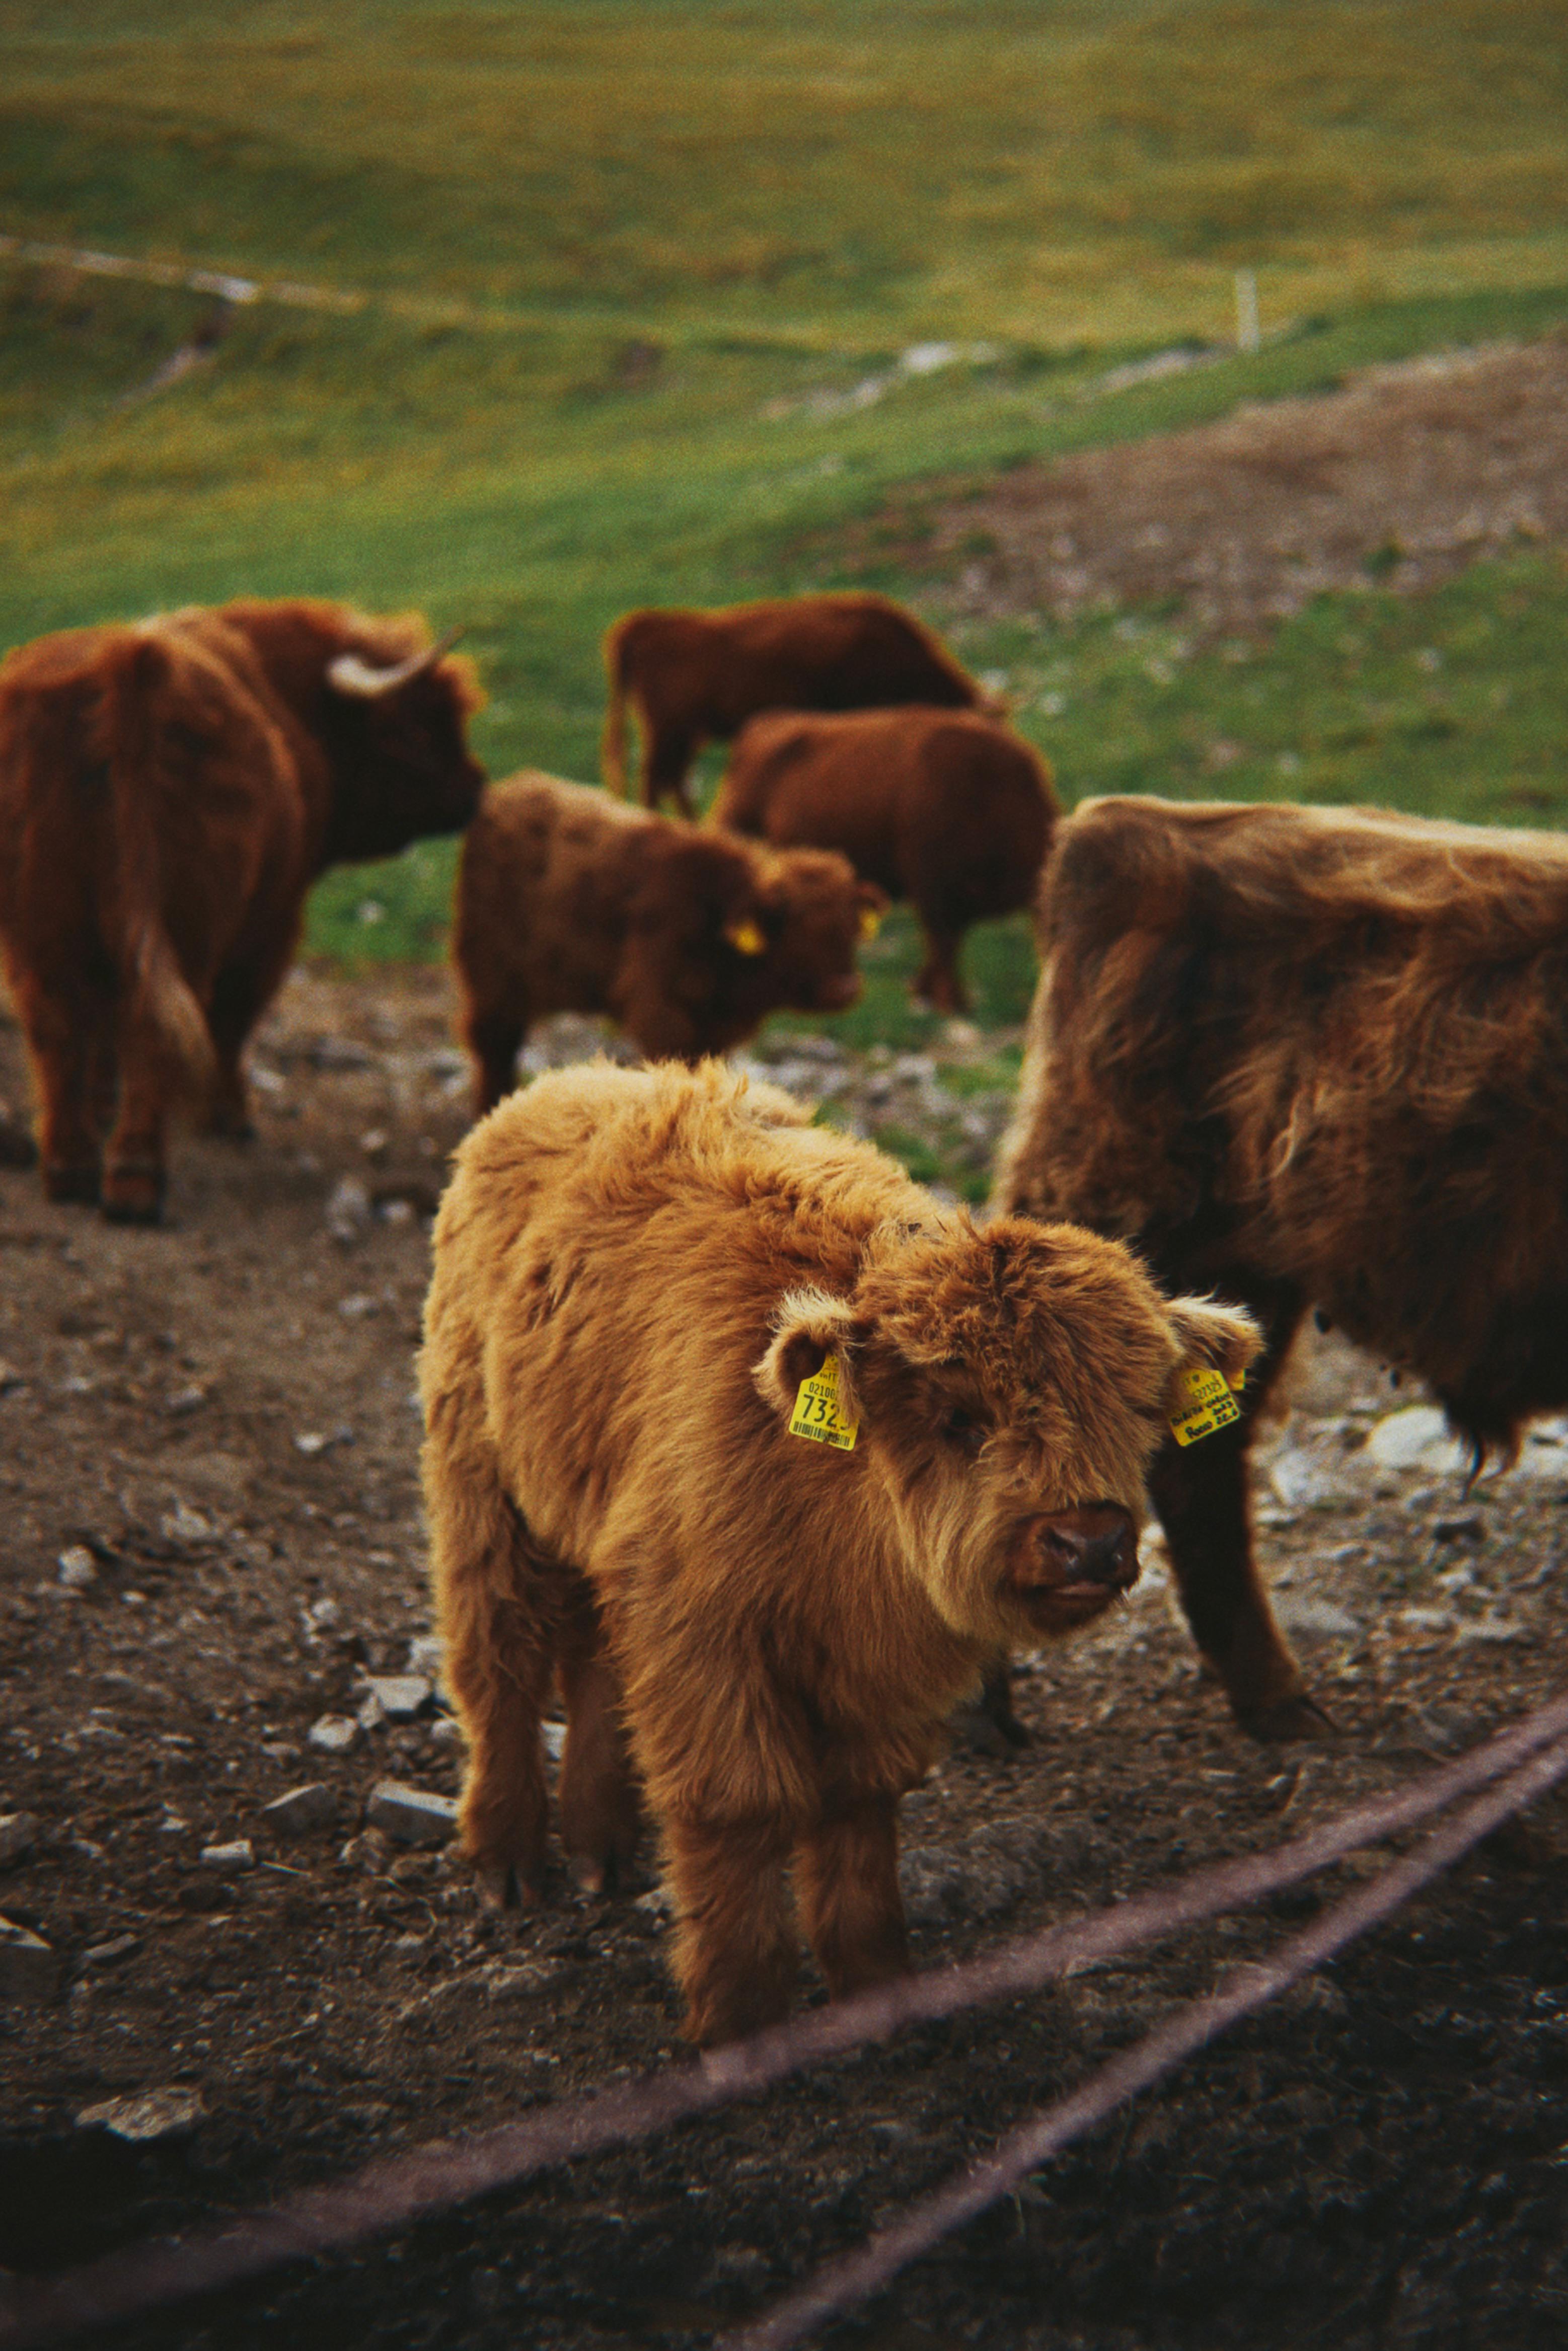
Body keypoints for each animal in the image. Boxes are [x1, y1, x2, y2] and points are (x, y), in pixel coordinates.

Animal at [0, 599, 485, 1223]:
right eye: (417, 724)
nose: (476, 788)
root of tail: (127, 663)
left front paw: (105, 1105)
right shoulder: (275, 918)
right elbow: (233, 1015)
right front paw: (227, 1117)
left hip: (42, 927)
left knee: (57, 1024)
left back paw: (70, 1169)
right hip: (188, 921)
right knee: (155, 1026)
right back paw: (136, 1181)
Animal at [420, 1058, 1261, 2044]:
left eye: (1135, 1409)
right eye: (959, 1417)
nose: (1087, 1540)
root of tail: (568, 1082)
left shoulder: (862, 1673)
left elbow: (859, 1812)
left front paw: (875, 1992)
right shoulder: (699, 1635)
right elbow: (736, 1808)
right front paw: (738, 2021)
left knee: (588, 1663)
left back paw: (600, 1846)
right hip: (482, 1485)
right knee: (499, 1657)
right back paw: (507, 1858)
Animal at [452, 771, 886, 1114]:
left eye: (850, 926)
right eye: (791, 925)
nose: (843, 988)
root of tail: (514, 788)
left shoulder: (714, 1030)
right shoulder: (661, 1013)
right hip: (492, 977)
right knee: (494, 1049)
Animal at [712, 706, 1058, 1014]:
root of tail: (761, 726)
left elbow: (944, 945)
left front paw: (927, 991)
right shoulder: (933, 887)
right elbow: (943, 943)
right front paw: (948, 1002)